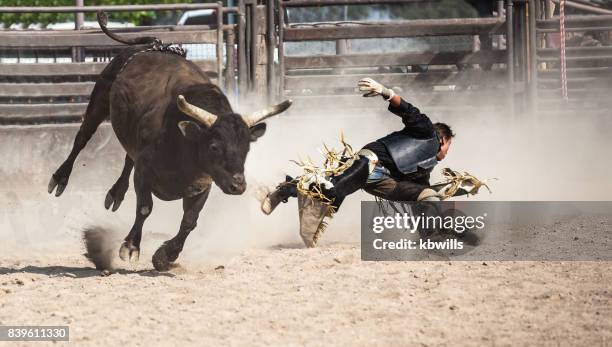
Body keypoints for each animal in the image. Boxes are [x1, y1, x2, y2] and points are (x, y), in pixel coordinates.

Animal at [47, 17, 292, 272]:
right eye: (214, 146)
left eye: (247, 148)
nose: (238, 186)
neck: (184, 143)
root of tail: (156, 45)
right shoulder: (144, 171)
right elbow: (145, 207)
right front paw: (131, 247)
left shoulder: (202, 184)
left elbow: (189, 222)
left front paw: (166, 255)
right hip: (100, 100)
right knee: (82, 139)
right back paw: (59, 179)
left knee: (128, 157)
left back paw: (116, 194)